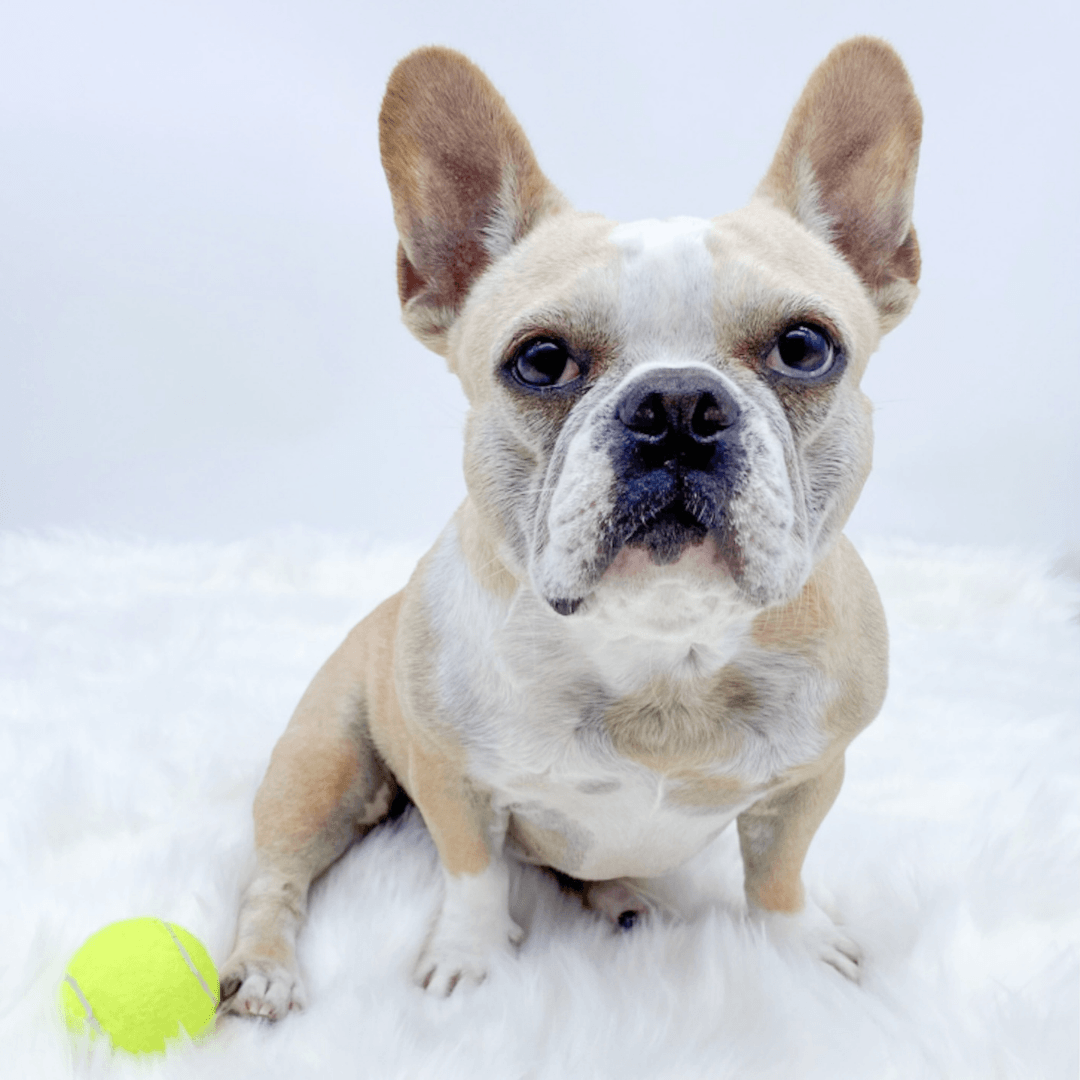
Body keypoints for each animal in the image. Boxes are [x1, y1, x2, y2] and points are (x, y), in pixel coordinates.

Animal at [217, 38, 920, 1015]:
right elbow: (474, 875)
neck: (663, 654)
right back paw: (266, 968)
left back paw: (622, 898)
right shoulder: (453, 780)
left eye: (806, 348)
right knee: (279, 872)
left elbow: (779, 871)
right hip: (318, 766)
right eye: (541, 361)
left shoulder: (811, 779)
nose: (677, 405)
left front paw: (798, 947)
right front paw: (470, 960)